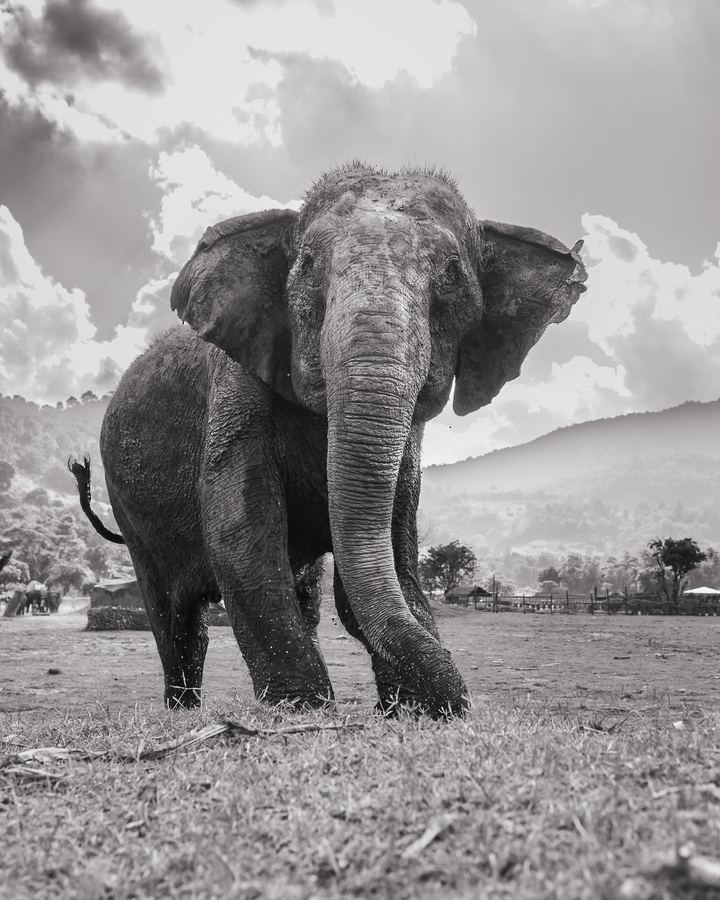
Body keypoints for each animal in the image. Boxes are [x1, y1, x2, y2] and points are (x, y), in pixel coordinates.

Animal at [71, 163, 586, 716]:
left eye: (452, 273)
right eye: (309, 265)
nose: (453, 707)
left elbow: (392, 553)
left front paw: (408, 709)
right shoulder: (235, 387)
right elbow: (243, 539)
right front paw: (302, 710)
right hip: (130, 511)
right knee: (173, 617)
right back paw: (183, 710)